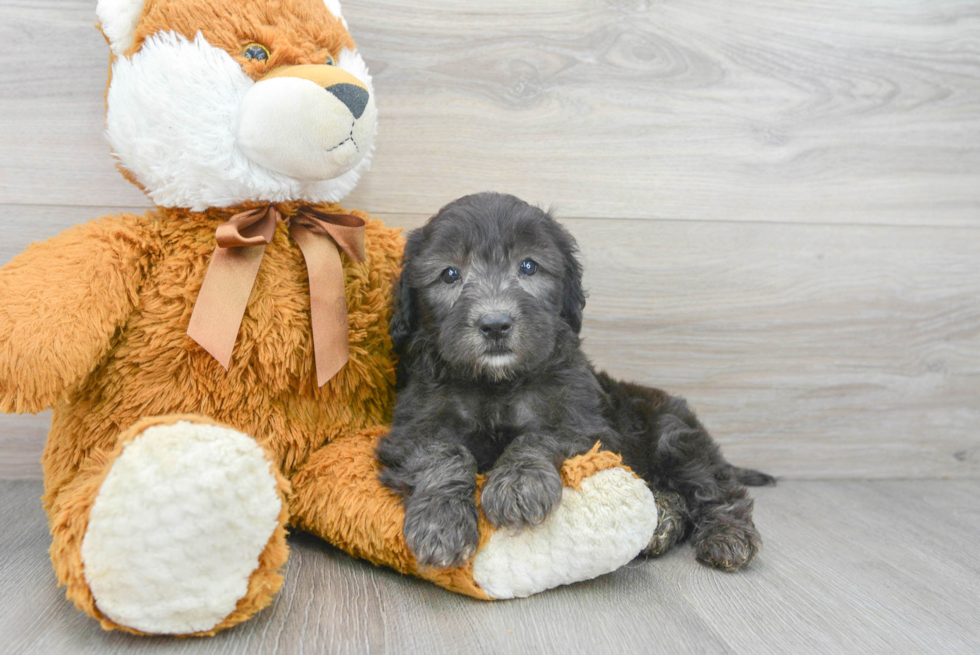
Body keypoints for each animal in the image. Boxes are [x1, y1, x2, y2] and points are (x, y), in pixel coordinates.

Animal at [378, 192, 772, 572]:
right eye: (449, 274)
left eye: (528, 266)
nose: (495, 324)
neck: (496, 384)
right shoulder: (415, 428)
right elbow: (444, 454)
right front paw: (440, 523)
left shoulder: (582, 423)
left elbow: (537, 437)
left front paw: (518, 485)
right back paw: (663, 522)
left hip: (673, 437)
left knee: (717, 490)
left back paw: (727, 536)